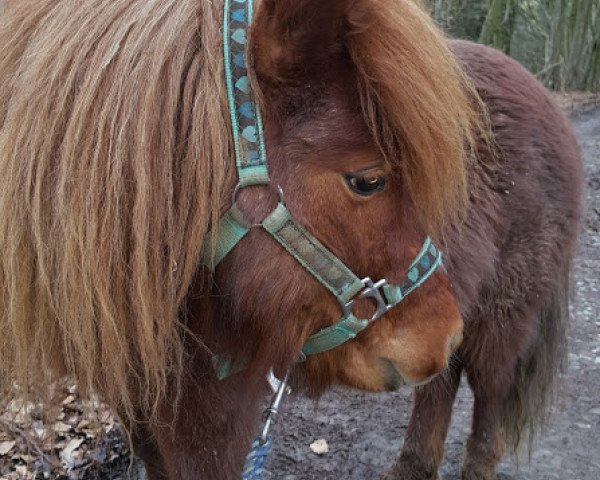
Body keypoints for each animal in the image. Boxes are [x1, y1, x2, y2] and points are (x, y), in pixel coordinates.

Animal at [0, 0, 580, 480]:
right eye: (367, 180)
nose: (442, 333)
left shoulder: (219, 406)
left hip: (502, 319)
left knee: (486, 401)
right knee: (440, 390)